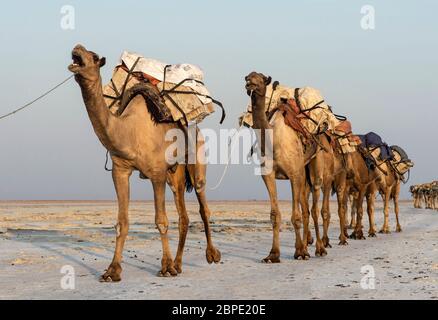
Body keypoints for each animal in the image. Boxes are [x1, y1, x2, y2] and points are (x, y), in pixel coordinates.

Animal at [68, 44, 221, 280]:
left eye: (93, 56)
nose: (77, 47)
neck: (130, 131)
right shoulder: (120, 171)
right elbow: (121, 222)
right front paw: (112, 270)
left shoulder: (156, 173)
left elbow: (161, 220)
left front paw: (165, 267)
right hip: (174, 174)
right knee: (183, 216)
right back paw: (179, 264)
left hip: (197, 160)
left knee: (203, 205)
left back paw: (211, 255)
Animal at [243, 71, 312, 262]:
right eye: (248, 77)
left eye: (261, 78)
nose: (250, 83)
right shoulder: (268, 175)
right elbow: (275, 215)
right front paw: (273, 254)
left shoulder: (294, 174)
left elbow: (296, 216)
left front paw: (300, 252)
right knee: (306, 207)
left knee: (308, 210)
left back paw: (316, 247)